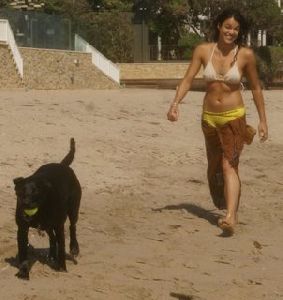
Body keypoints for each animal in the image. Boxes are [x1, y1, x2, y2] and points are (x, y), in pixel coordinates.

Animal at [13, 138, 81, 278]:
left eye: (36, 192)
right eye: (20, 192)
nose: (26, 203)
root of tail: (63, 166)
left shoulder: (59, 226)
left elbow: (62, 248)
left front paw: (62, 268)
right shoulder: (22, 228)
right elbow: (23, 252)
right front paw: (23, 272)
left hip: (73, 210)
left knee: (72, 226)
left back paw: (74, 248)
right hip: (48, 225)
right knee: (52, 237)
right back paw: (52, 256)